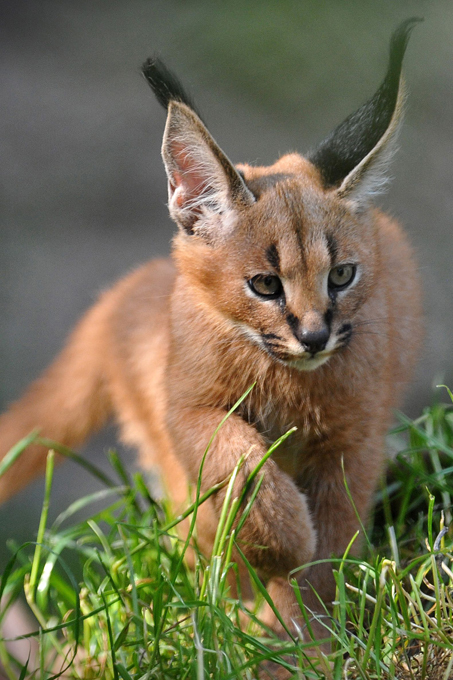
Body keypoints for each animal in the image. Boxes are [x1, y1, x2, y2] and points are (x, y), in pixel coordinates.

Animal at [1, 18, 422, 640]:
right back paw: (230, 607)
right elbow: (237, 456)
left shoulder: (356, 434)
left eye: (342, 276)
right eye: (265, 285)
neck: (285, 375)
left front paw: (313, 631)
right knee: (197, 524)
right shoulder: (184, 408)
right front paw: (283, 552)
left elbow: (336, 534)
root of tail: (131, 288)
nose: (315, 337)